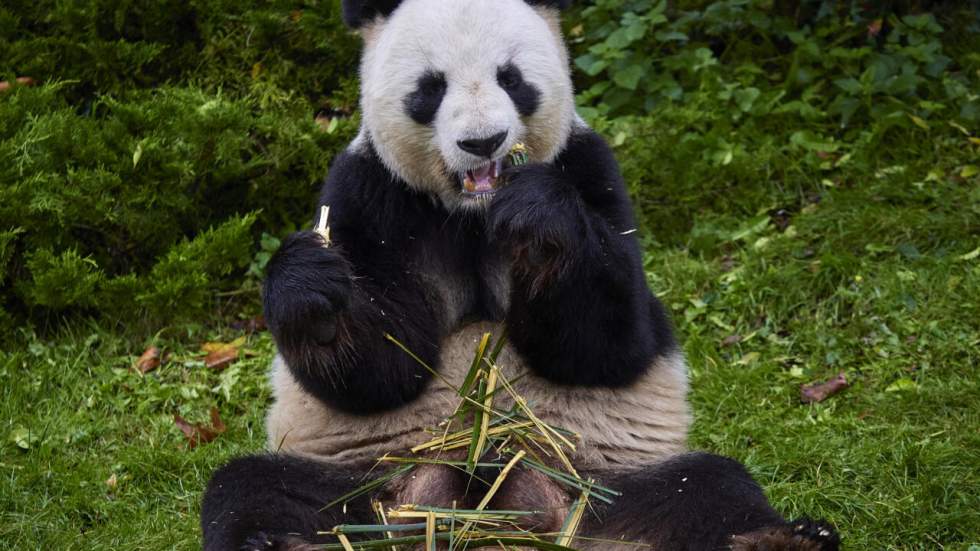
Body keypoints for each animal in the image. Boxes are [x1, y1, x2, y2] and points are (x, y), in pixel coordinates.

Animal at [201, 0, 840, 550]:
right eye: (431, 87)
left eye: (511, 78)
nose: (483, 142)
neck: (475, 212)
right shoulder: (372, 193)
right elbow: (381, 370)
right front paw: (314, 291)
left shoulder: (589, 169)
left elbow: (608, 345)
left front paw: (540, 219)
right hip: (368, 483)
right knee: (256, 490)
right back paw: (276, 542)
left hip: (605, 483)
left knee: (709, 488)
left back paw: (781, 539)